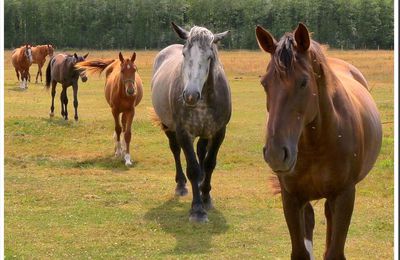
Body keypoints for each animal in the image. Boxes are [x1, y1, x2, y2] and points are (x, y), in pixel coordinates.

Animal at [151, 22, 231, 222]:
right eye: (184, 54)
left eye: (210, 56)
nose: (190, 95)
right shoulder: (183, 132)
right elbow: (192, 168)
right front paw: (197, 209)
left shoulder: (219, 132)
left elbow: (210, 163)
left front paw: (206, 197)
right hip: (169, 128)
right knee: (175, 150)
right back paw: (181, 185)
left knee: (201, 150)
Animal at [255, 23, 382, 258]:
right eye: (264, 83)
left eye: (304, 82)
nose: (276, 154)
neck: (317, 144)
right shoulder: (291, 197)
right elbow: (300, 251)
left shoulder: (344, 195)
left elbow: (334, 252)